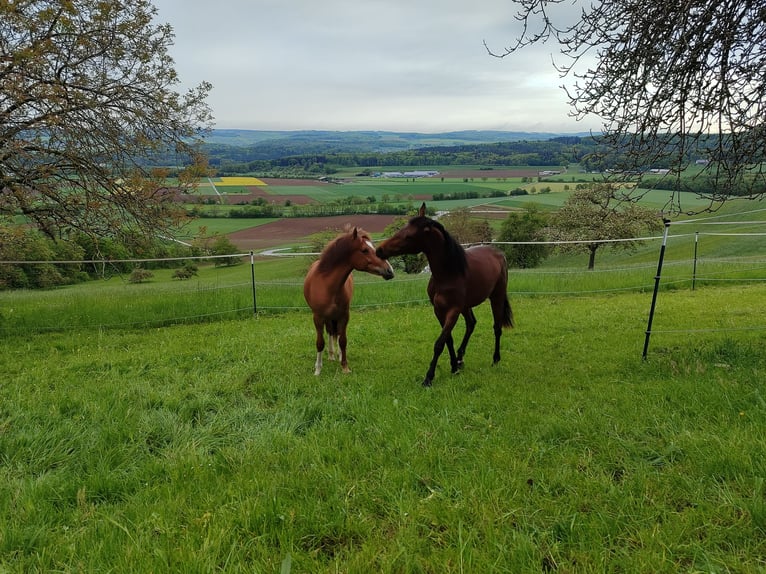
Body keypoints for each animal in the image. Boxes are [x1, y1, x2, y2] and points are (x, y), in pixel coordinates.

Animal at [304, 227, 396, 380]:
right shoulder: (318, 317)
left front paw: (345, 367)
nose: (390, 271)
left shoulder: (344, 316)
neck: (327, 285)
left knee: (336, 333)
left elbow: (343, 340)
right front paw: (317, 369)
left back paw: (338, 355)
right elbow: (320, 343)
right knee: (330, 332)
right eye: (365, 250)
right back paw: (330, 355)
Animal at [376, 202, 512, 388]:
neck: (448, 273)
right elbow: (448, 339)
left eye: (408, 236)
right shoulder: (439, 311)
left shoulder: (453, 311)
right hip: (467, 306)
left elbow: (439, 343)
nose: (379, 250)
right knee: (471, 324)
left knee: (497, 327)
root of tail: (499, 253)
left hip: (496, 297)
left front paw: (428, 377)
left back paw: (496, 359)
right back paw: (461, 359)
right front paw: (454, 367)